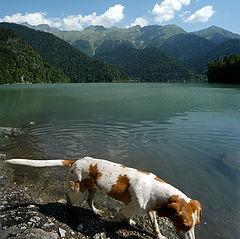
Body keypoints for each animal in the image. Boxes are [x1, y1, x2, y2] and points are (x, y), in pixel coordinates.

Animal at [5, 157, 202, 239]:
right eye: (185, 225)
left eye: (196, 225)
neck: (155, 189)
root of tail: (75, 161)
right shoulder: (128, 209)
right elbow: (125, 217)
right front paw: (128, 224)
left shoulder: (151, 210)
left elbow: (155, 226)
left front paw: (160, 235)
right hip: (78, 191)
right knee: (70, 194)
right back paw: (69, 204)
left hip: (93, 190)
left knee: (89, 202)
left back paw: (95, 211)